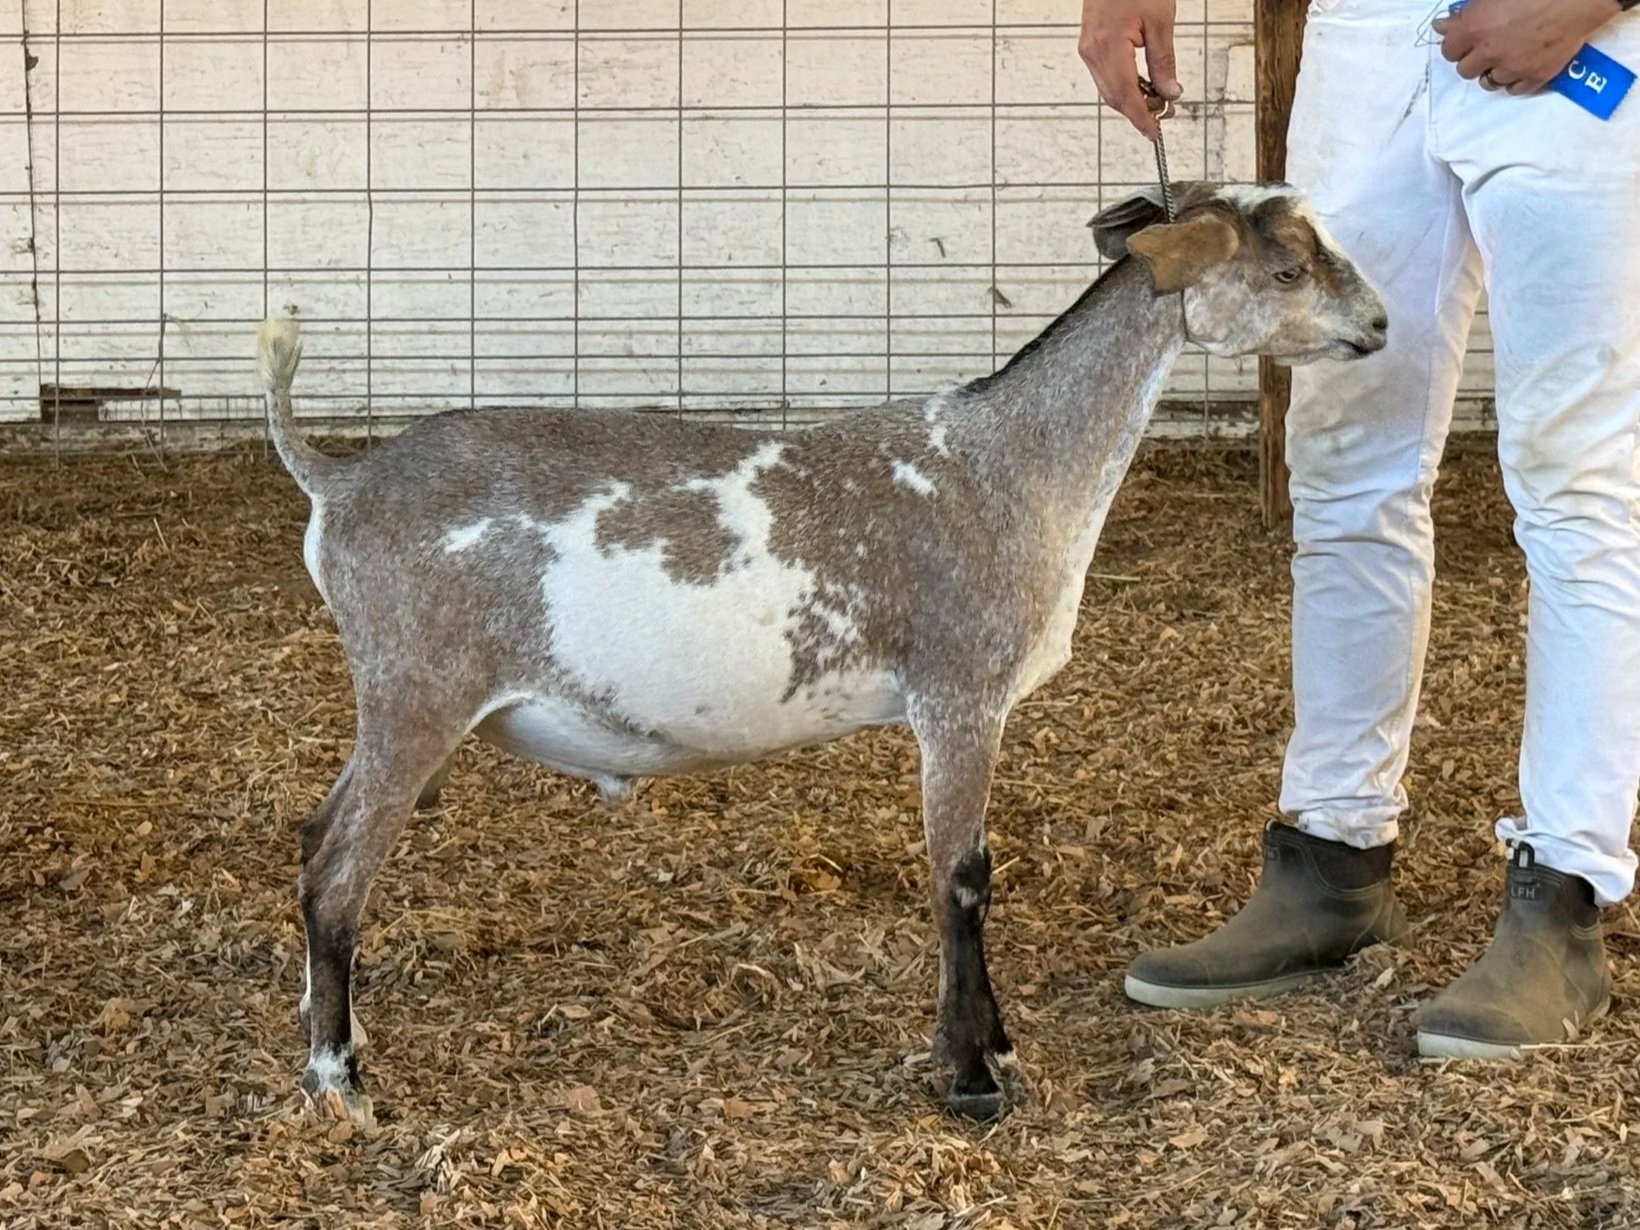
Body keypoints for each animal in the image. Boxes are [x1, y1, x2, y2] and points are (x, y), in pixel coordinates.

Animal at [262, 181, 1387, 1122]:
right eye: (1288, 269)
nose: (1378, 325)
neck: (1013, 464)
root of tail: (338, 483)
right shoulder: (959, 694)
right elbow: (962, 876)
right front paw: (972, 1076)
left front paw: (995, 1049)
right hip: (416, 691)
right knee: (339, 870)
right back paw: (340, 1079)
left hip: (398, 702)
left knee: (315, 837)